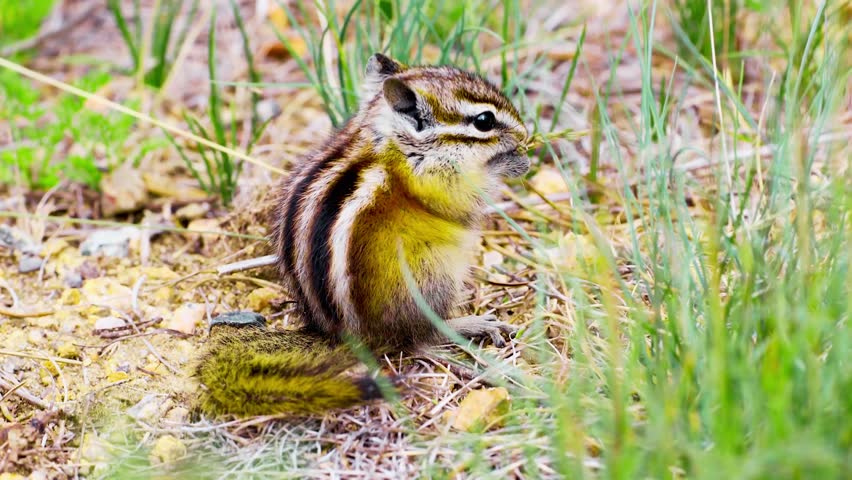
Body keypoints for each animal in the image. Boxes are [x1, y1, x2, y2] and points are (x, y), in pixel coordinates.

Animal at [194, 53, 530, 416]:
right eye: (484, 121)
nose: (526, 132)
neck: (393, 141)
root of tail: (341, 336)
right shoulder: (436, 181)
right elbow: (463, 201)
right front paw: (511, 163)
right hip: (430, 277)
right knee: (420, 338)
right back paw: (470, 327)